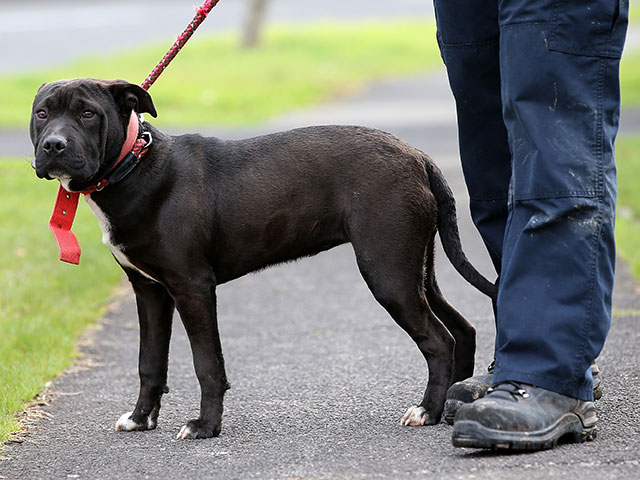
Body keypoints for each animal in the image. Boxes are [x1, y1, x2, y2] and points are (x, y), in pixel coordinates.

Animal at [30, 78, 496, 438]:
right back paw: (450, 404)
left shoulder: (192, 287)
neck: (133, 165)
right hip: (415, 269)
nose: (53, 145)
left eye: (88, 114)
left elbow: (207, 363)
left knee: (439, 340)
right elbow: (150, 363)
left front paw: (206, 427)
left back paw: (427, 411)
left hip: (388, 272)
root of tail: (417, 156)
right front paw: (141, 419)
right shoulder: (149, 291)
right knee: (462, 329)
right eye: (41, 114)